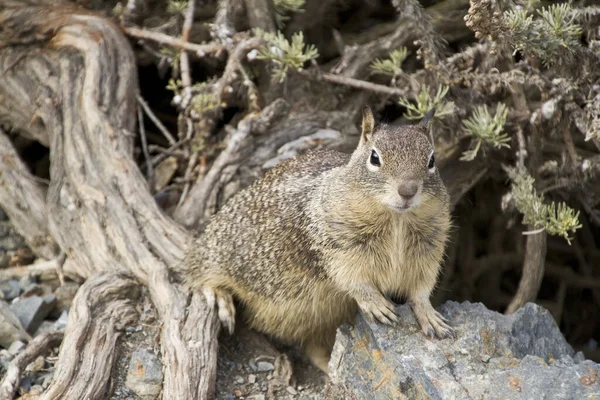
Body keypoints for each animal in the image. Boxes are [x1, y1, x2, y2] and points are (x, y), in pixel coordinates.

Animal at [185, 105, 452, 372]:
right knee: (199, 270)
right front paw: (377, 304)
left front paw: (431, 317)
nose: (407, 191)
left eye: (431, 160)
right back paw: (220, 298)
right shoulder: (337, 246)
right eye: (375, 158)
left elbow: (421, 290)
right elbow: (353, 280)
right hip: (219, 250)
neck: (397, 220)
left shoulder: (430, 251)